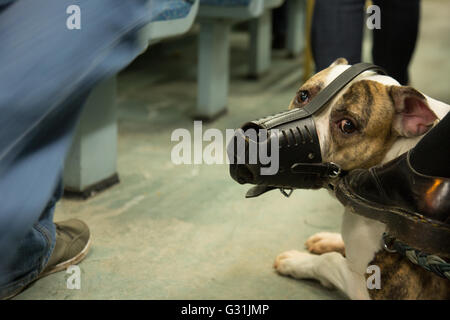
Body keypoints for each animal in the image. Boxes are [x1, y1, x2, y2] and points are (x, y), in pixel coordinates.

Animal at [270, 57, 450, 300]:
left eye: (347, 125)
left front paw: (296, 261)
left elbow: (328, 261)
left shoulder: (370, 287)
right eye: (303, 96)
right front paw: (328, 240)